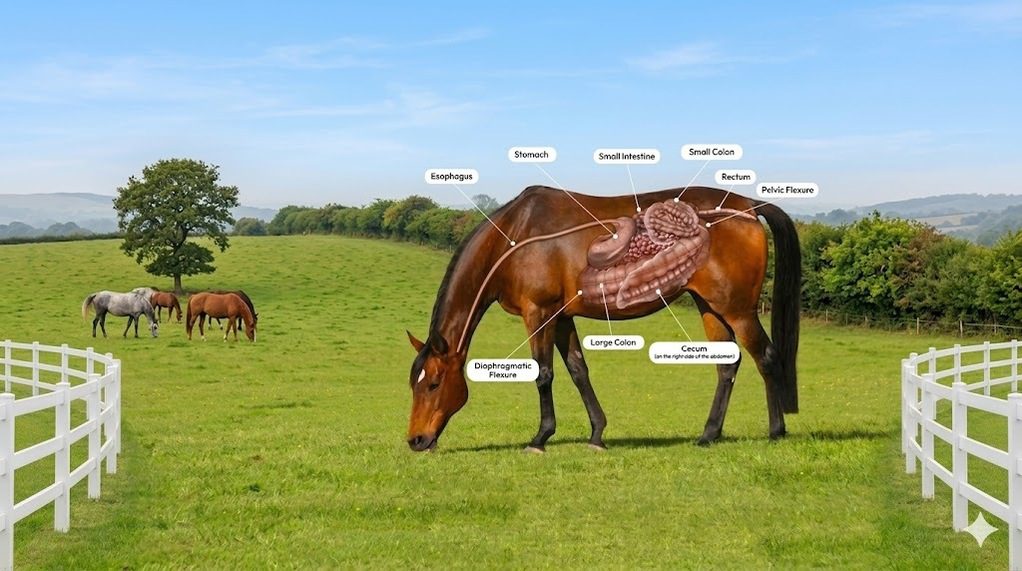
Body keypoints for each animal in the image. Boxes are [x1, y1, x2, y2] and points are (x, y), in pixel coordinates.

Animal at [405, 185, 800, 452]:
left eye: (434, 384)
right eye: (414, 383)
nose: (416, 440)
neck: (514, 237)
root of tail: (748, 207)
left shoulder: (539, 313)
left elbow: (543, 373)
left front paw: (540, 437)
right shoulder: (561, 317)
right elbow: (578, 370)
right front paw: (596, 434)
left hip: (738, 309)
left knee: (766, 357)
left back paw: (776, 431)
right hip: (711, 306)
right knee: (726, 365)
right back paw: (708, 435)